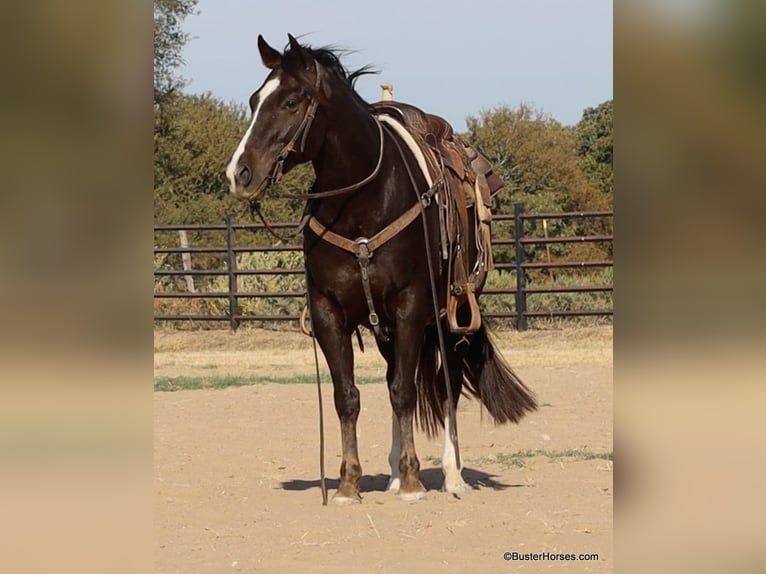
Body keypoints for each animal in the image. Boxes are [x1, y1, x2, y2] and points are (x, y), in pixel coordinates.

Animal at [226, 34, 537, 505]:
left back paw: (451, 474)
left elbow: (406, 392)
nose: (239, 173)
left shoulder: (411, 306)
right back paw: (390, 473)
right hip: (384, 327)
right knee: (394, 377)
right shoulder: (329, 312)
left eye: (291, 101)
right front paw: (348, 484)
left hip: (451, 319)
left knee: (445, 385)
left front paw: (412, 482)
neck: (363, 205)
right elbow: (349, 396)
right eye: (253, 100)